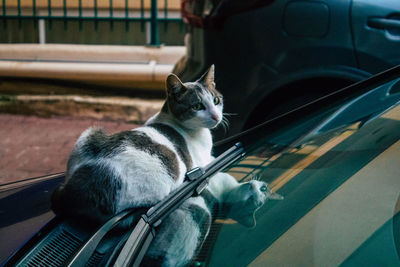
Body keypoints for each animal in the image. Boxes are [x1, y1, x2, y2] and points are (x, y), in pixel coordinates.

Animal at [50, 65, 282, 267]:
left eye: (216, 100)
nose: (216, 116)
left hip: (89, 134)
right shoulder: (207, 165)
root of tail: (75, 188)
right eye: (197, 106)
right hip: (159, 183)